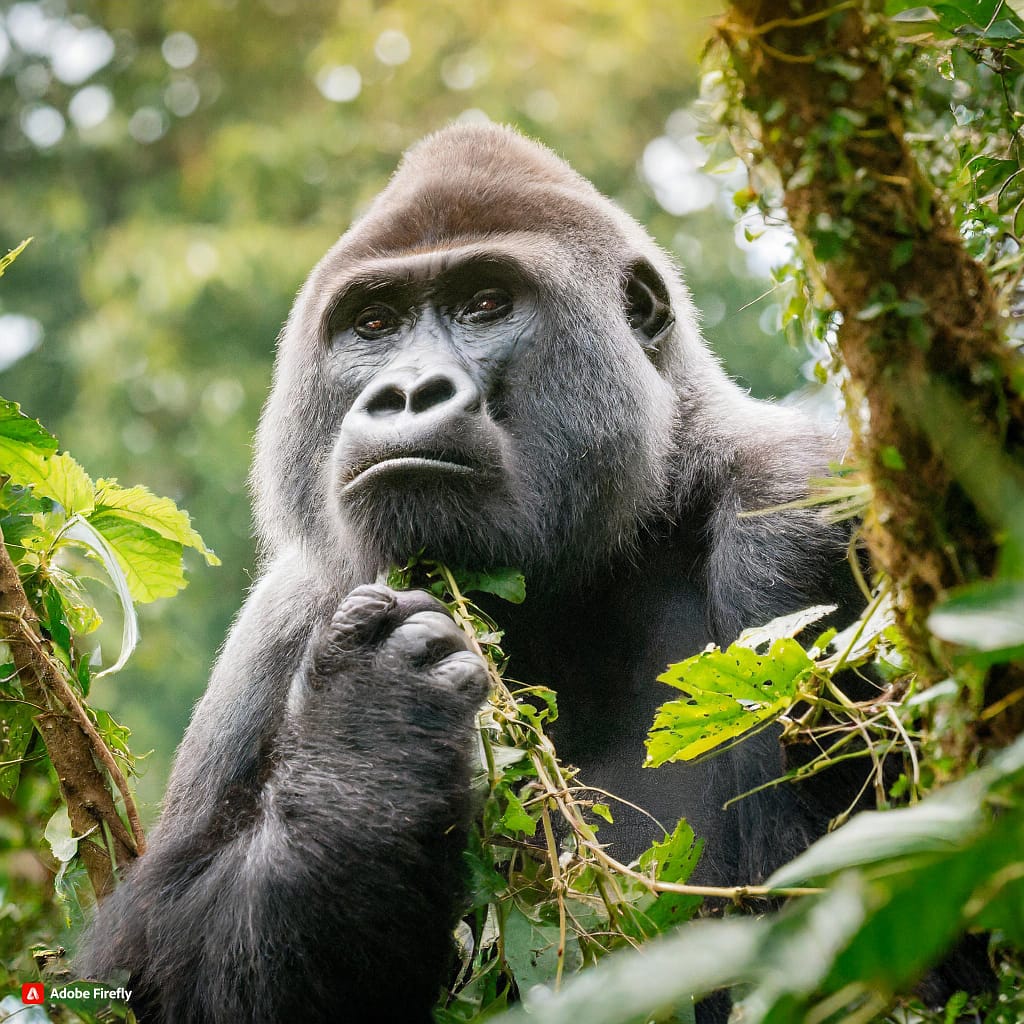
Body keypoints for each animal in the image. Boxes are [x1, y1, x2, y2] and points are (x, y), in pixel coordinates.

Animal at [81, 123, 864, 1019]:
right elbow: (166, 966)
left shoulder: (804, 508)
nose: (407, 392)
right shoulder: (282, 619)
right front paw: (368, 742)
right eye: (374, 323)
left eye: (485, 304)